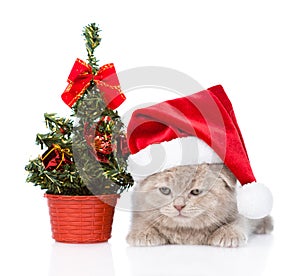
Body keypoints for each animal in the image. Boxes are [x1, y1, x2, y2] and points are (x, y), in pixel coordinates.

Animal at [125, 163, 274, 247]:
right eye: (165, 190)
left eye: (196, 191)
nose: (178, 206)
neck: (185, 231)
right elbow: (141, 220)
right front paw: (142, 234)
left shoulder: (235, 209)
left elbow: (238, 221)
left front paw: (228, 234)